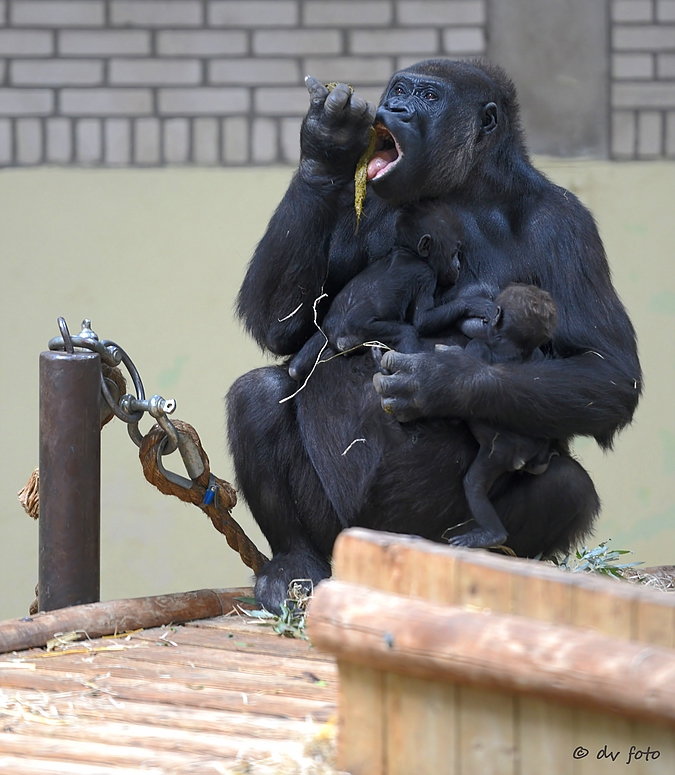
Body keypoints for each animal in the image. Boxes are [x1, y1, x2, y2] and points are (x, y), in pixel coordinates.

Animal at [288, 200, 468, 382]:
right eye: (454, 253)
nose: (458, 266)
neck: (410, 252)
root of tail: (340, 338)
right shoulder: (426, 275)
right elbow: (422, 320)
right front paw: (470, 303)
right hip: (364, 332)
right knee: (406, 332)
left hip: (327, 333)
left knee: (296, 368)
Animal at [446, 286, 564, 552]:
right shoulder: (537, 355)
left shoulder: (478, 345)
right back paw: (542, 461)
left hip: (498, 454)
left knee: (475, 484)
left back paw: (492, 536)